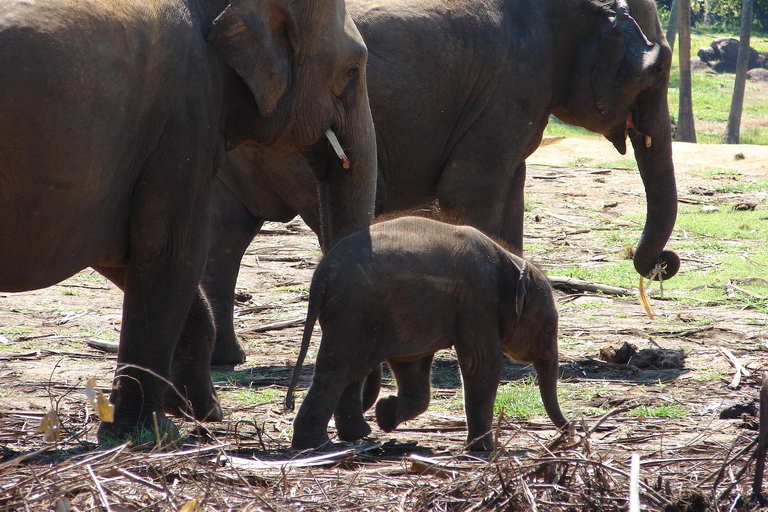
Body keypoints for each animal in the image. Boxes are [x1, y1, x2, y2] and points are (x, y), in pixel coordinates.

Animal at [0, 0, 378, 440]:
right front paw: (153, 432)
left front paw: (196, 408)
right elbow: (171, 251)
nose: (362, 431)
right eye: (352, 69)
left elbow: (122, 251)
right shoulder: (185, 114)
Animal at [202, 0, 680, 366]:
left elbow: (511, 197)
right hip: (289, 145)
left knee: (225, 235)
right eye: (657, 73)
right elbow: (470, 195)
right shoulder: (510, 90)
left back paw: (229, 359)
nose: (663, 264)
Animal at [284, 217, 568, 452]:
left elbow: (412, 362)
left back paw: (356, 435)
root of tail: (322, 274)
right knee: (338, 368)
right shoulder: (478, 300)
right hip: (355, 310)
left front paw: (386, 413)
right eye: (549, 326)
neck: (511, 262)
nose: (572, 431)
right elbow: (481, 362)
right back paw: (316, 445)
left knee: (351, 369)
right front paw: (483, 450)